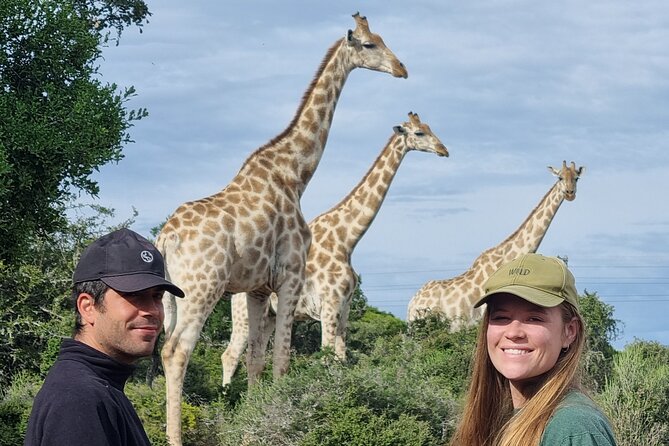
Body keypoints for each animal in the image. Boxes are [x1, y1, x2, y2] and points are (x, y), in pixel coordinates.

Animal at [156, 13, 407, 445]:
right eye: (370, 44)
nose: (402, 69)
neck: (295, 174)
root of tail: (166, 237)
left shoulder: (257, 288)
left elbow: (257, 360)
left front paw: (251, 423)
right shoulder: (290, 275)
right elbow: (283, 360)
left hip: (170, 297)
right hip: (202, 288)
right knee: (178, 351)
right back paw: (175, 437)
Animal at [222, 112, 449, 386]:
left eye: (429, 128)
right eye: (419, 133)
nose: (444, 150)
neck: (347, 240)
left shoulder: (344, 309)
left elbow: (340, 358)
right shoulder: (329, 307)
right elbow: (326, 357)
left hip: (270, 316)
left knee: (257, 354)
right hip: (243, 314)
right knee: (230, 354)